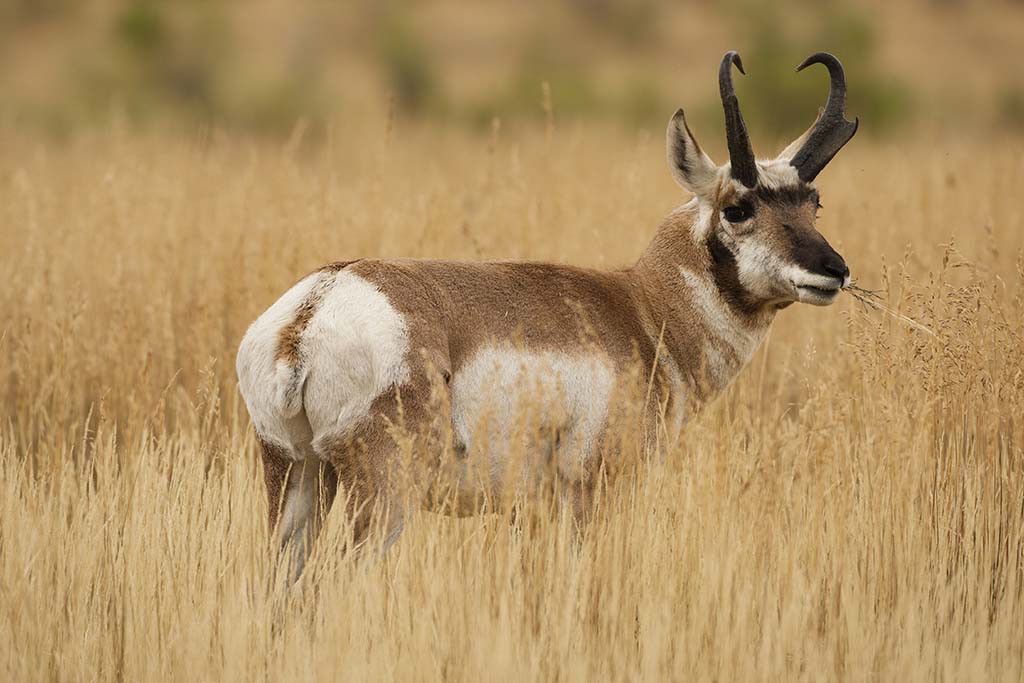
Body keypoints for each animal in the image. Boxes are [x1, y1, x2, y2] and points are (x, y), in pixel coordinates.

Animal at [237, 52, 856, 577]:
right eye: (738, 207)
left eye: (814, 202)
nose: (834, 269)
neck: (642, 307)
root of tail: (316, 305)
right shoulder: (587, 495)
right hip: (383, 496)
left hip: (295, 477)